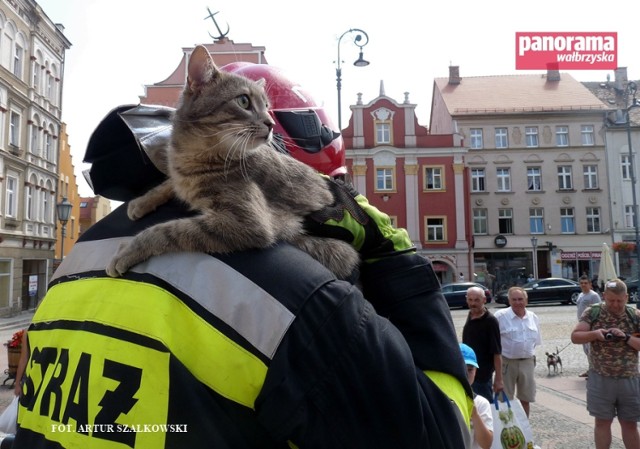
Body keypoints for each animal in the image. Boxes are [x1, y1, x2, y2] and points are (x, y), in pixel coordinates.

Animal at [107, 44, 362, 276]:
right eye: (243, 101)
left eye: (267, 106)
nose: (271, 124)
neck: (193, 155)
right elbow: (170, 183)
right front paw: (142, 201)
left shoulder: (247, 224)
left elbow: (167, 230)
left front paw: (129, 250)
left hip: (339, 252)